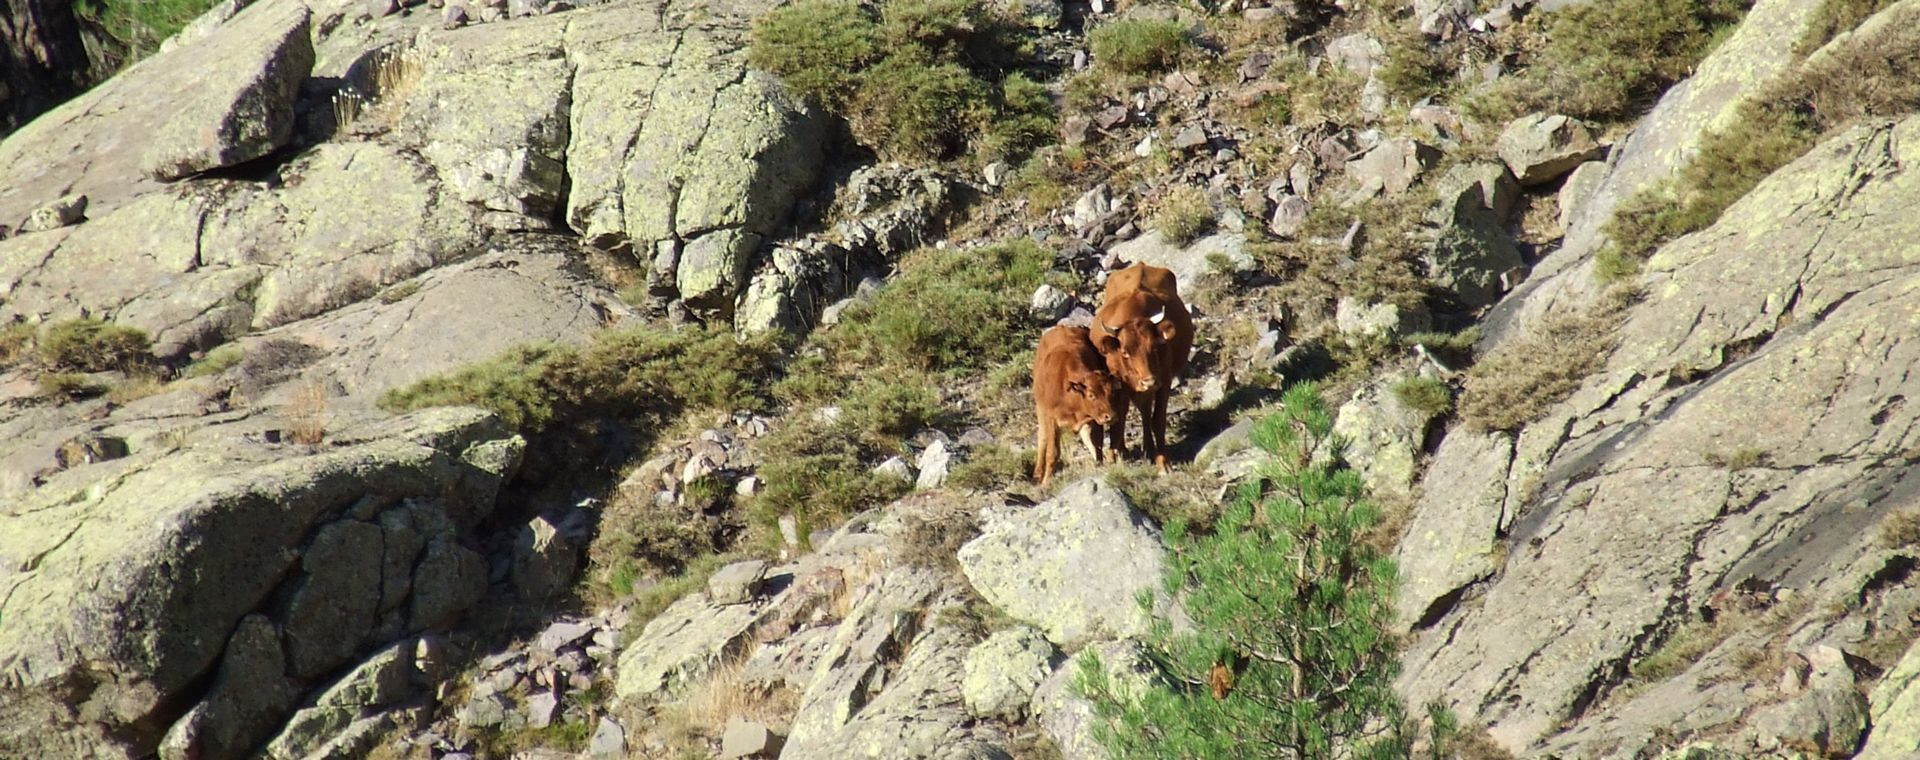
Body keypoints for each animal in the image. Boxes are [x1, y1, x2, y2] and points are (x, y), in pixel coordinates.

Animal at [1032, 325, 1120, 487]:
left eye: (1111, 391)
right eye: (1091, 395)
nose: (1110, 416)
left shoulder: (1092, 420)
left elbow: (1097, 445)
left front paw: (1099, 467)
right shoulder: (1051, 419)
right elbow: (1052, 452)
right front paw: (1046, 482)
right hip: (1040, 409)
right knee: (1042, 438)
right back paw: (1037, 474)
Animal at [1092, 262, 1194, 473]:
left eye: (1155, 347)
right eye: (1125, 352)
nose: (1149, 381)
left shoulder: (1164, 381)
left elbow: (1158, 420)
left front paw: (1163, 462)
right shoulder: (1119, 385)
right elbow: (1118, 420)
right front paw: (1115, 455)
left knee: (1146, 413)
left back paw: (1148, 448)